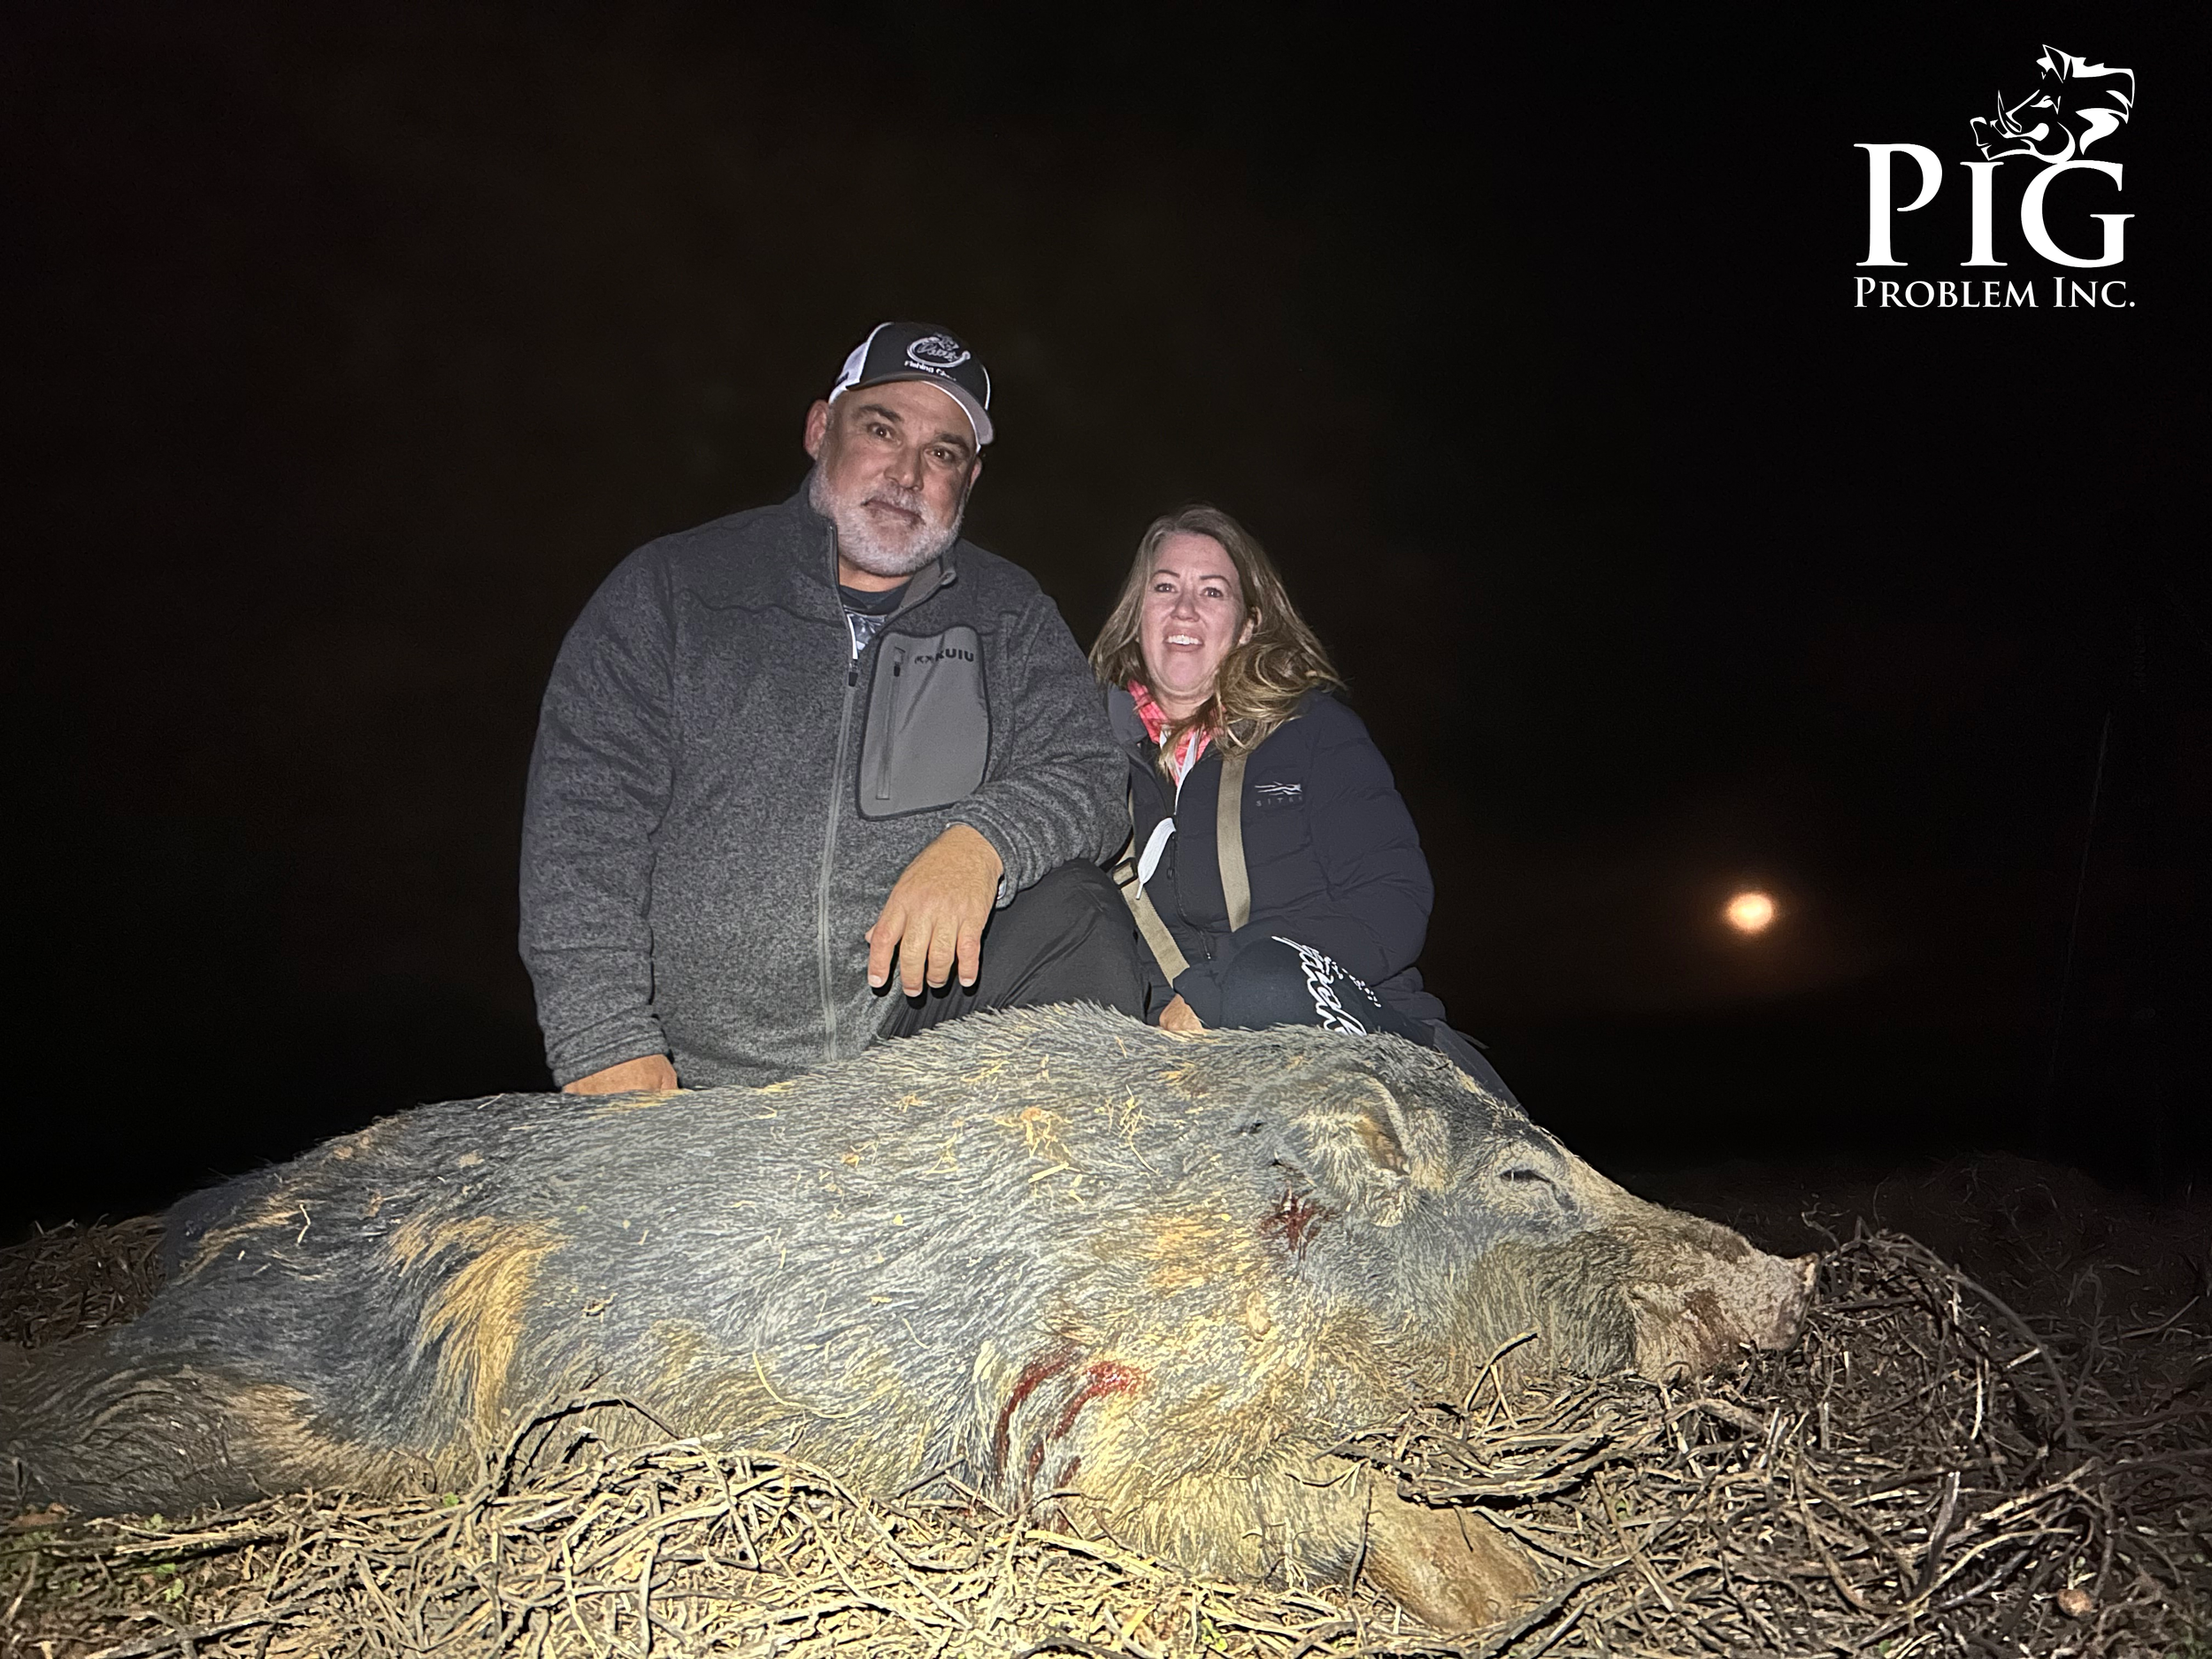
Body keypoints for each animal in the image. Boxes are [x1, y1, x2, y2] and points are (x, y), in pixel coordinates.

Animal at [0, 1006, 1812, 1632]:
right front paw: (1519, 1588)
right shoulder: (1106, 1416)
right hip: (278, 1398)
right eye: (1525, 1175)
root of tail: (197, 1231)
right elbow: (1304, 1504)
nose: (1790, 1275)